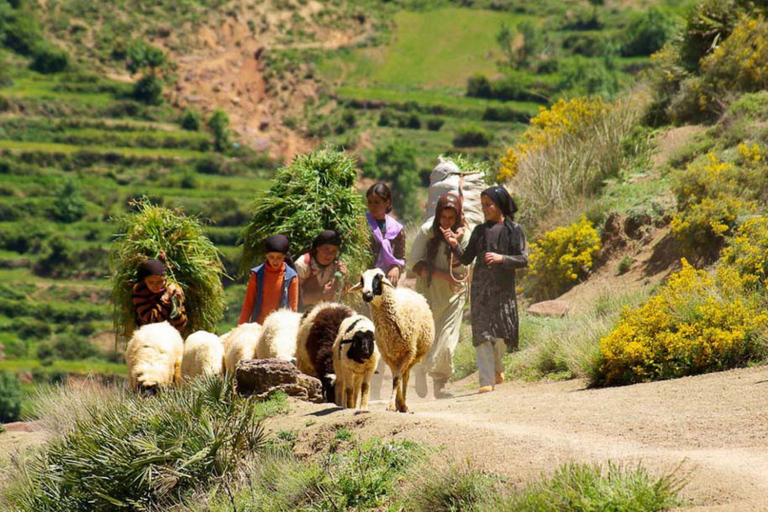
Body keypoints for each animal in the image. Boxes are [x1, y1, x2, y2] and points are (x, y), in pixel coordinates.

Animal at [352, 268, 436, 412]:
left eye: (379, 277)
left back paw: (404, 404)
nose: (366, 294)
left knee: (406, 376)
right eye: (362, 280)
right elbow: (395, 378)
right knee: (401, 375)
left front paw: (394, 405)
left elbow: (397, 379)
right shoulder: (388, 356)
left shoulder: (408, 352)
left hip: (413, 356)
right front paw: (397, 403)